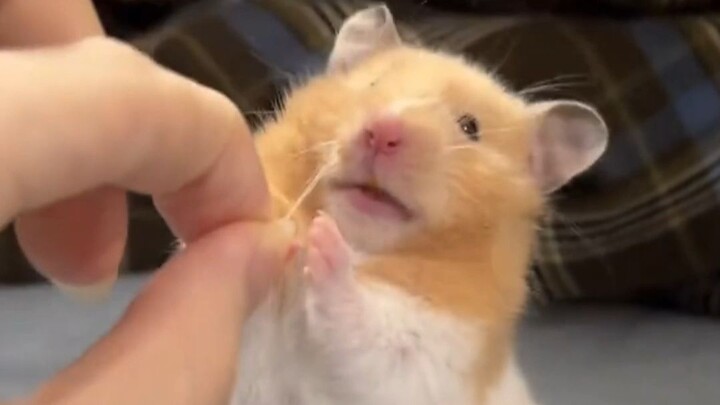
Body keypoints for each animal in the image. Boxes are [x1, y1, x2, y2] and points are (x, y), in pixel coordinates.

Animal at [229, 4, 608, 405]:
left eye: (469, 127)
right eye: (373, 85)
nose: (381, 132)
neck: (362, 244)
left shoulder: (426, 360)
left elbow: (368, 337)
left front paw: (324, 241)